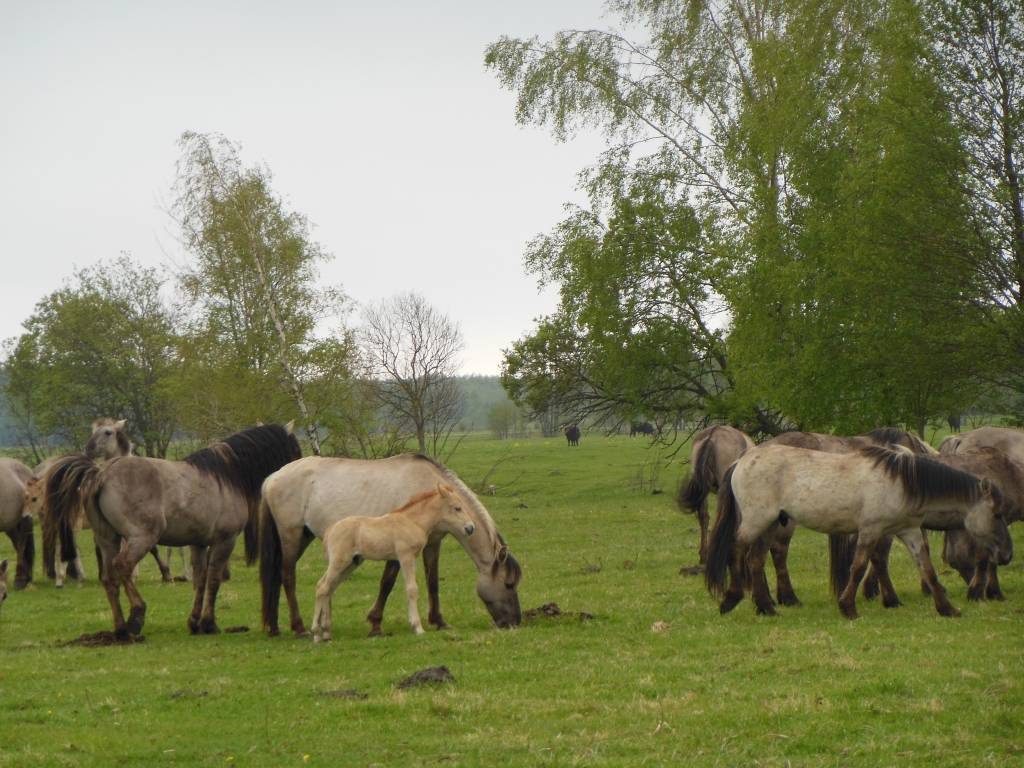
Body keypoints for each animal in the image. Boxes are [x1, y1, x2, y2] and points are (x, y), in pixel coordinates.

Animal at [44, 421, 299, 638]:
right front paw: (209, 623)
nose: (297, 469)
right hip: (141, 538)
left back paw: (120, 628)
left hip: (108, 539)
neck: (226, 475)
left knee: (109, 579)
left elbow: (200, 579)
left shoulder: (199, 544)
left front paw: (195, 623)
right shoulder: (224, 541)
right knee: (123, 566)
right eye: (294, 448)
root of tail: (101, 473)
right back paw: (136, 616)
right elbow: (214, 580)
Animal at [309, 487, 477, 643]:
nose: (470, 528)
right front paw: (417, 627)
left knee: (327, 588)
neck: (412, 521)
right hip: (340, 562)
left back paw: (326, 633)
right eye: (457, 508)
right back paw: (316, 634)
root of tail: (330, 530)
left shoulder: (404, 558)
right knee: (322, 588)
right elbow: (412, 589)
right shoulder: (406, 557)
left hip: (350, 564)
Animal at [708, 444, 1003, 618]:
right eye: (997, 514)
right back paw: (731, 599)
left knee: (755, 560)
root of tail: (741, 461)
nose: (1005, 553)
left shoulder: (909, 531)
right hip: (756, 521)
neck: (902, 481)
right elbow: (859, 566)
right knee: (737, 552)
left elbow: (927, 569)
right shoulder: (870, 530)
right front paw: (848, 607)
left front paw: (947, 608)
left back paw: (766, 607)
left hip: (772, 524)